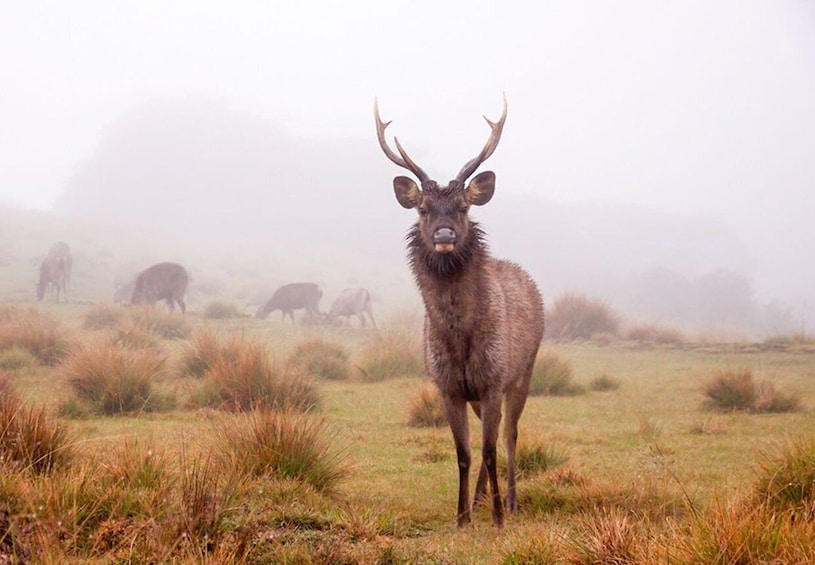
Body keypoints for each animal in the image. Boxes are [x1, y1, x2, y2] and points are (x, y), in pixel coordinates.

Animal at [374, 94, 540, 528]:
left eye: (464, 207)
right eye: (423, 209)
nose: (445, 235)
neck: (460, 343)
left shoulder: (494, 379)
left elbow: (489, 450)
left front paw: (498, 518)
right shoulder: (447, 386)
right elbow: (464, 453)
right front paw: (462, 516)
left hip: (524, 372)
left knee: (510, 436)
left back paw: (510, 502)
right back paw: (480, 500)